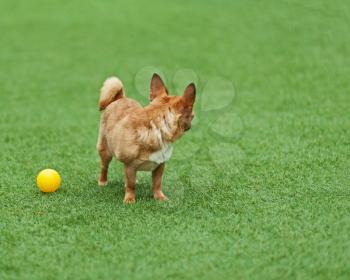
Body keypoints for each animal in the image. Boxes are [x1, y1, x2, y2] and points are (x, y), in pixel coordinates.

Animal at [97, 73, 196, 202]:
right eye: (192, 116)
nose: (190, 125)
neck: (156, 127)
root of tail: (120, 97)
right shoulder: (130, 166)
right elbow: (131, 185)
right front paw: (130, 199)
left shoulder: (160, 165)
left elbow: (157, 183)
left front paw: (160, 197)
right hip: (105, 151)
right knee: (104, 167)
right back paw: (102, 181)